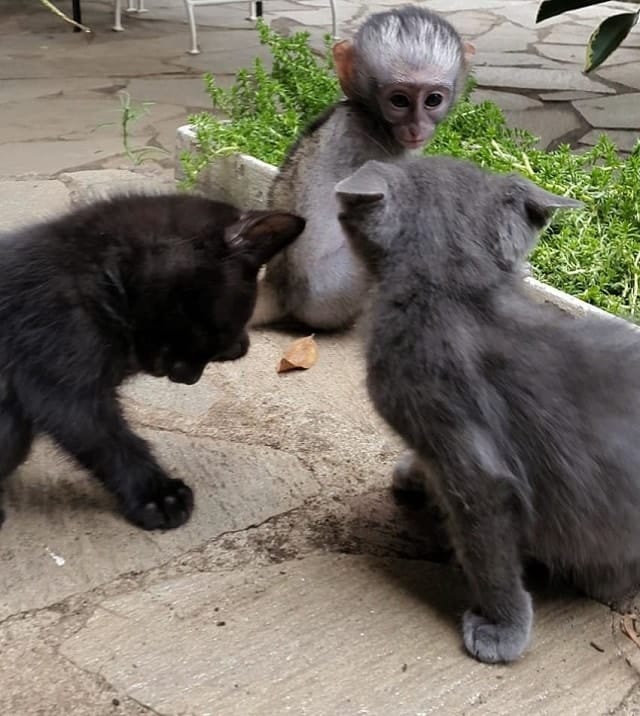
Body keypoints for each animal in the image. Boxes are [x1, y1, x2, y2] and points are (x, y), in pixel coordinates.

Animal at [0, 193, 304, 528]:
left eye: (217, 349)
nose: (189, 377)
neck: (100, 271)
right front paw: (157, 494)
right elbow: (105, 438)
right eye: (208, 331)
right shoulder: (60, 361)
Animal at [252, 4, 472, 330]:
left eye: (433, 100)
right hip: (336, 295)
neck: (370, 117)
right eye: (399, 100)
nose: (416, 127)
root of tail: (279, 286)